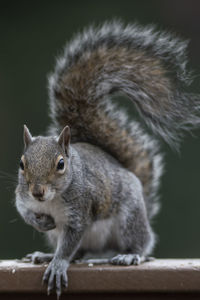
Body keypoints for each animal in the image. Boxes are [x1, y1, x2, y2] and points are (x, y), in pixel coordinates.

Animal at [14, 21, 200, 298]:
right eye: (22, 164)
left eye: (61, 164)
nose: (37, 192)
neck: (52, 200)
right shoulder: (22, 196)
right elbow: (24, 210)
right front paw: (40, 222)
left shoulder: (80, 211)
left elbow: (69, 243)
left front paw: (58, 264)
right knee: (80, 253)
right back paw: (45, 255)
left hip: (129, 218)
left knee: (141, 244)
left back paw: (129, 256)